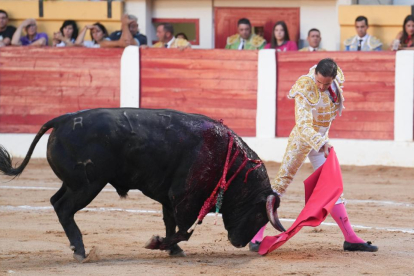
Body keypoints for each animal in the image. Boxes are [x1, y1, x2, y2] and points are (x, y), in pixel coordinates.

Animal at [0, 108, 284, 260]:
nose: (239, 243)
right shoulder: (185, 198)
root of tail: (64, 118)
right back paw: (80, 250)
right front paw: (157, 243)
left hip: (74, 183)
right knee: (64, 208)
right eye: (260, 214)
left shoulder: (171, 199)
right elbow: (184, 229)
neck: (229, 160)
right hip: (87, 185)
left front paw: (173, 249)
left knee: (56, 201)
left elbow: (171, 224)